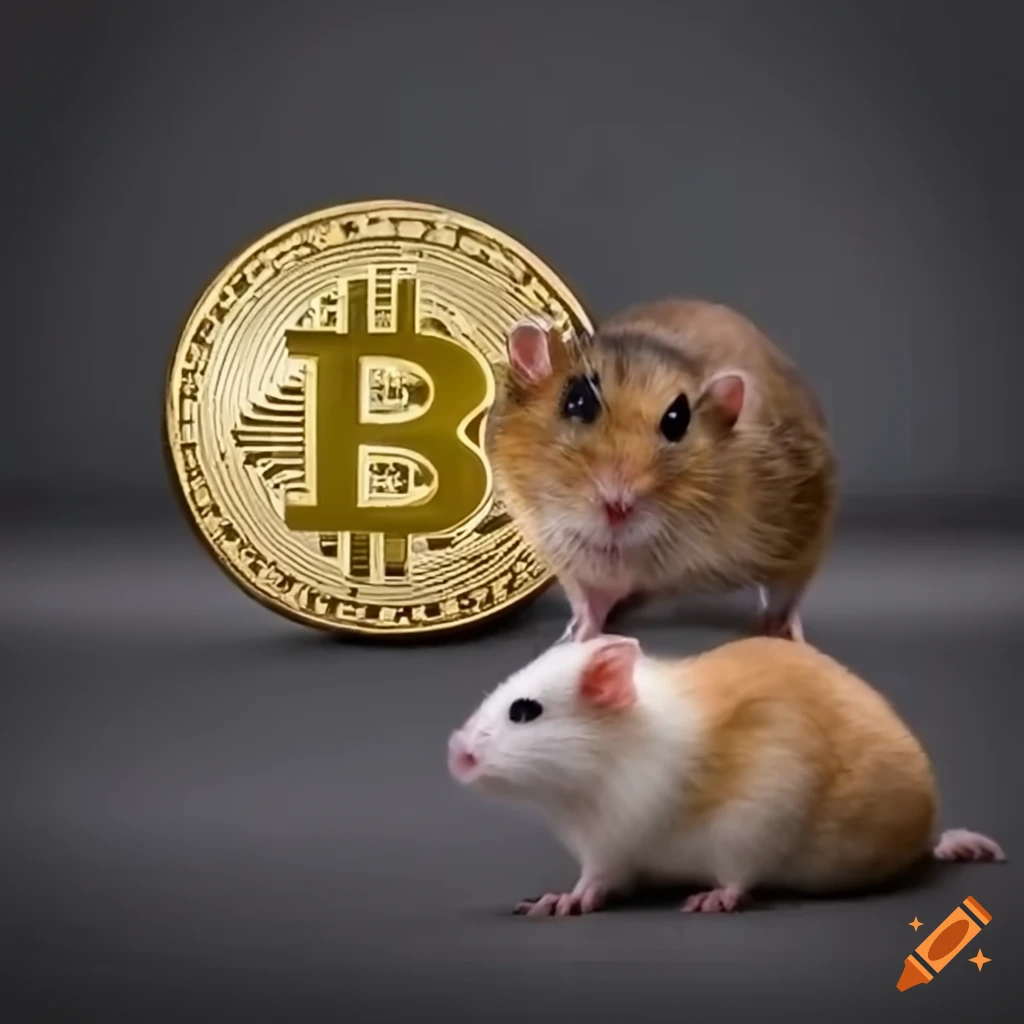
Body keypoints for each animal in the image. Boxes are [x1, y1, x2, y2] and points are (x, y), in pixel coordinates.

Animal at [447, 634, 1005, 915]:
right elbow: (597, 883)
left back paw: (712, 898)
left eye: (524, 711)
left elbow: (598, 880)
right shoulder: (608, 851)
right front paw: (552, 900)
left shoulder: (623, 839)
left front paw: (565, 900)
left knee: (740, 877)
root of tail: (926, 840)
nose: (455, 752)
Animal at [484, 299, 837, 643]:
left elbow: (787, 593)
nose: (617, 507)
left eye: (677, 420)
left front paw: (782, 633)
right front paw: (578, 637)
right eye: (577, 401)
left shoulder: (800, 525)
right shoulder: (562, 551)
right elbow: (588, 601)